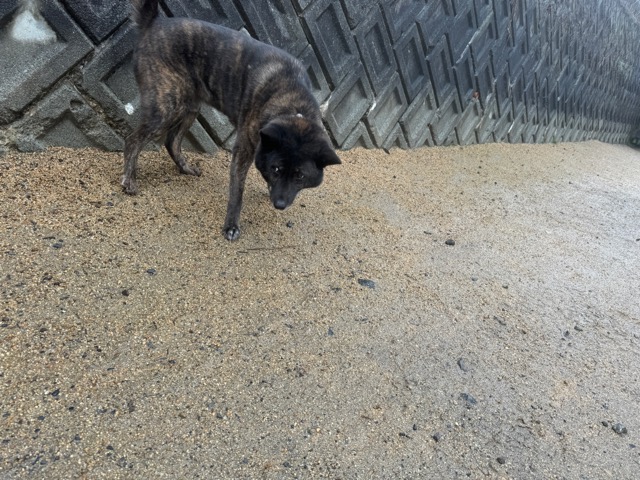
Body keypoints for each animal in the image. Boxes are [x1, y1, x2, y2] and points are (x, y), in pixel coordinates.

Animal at [123, 0, 340, 240]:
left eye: (300, 176)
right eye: (276, 169)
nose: (279, 204)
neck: (291, 102)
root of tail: (153, 22)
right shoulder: (243, 150)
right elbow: (237, 192)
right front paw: (231, 225)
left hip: (190, 106)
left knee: (172, 141)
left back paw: (186, 168)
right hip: (166, 106)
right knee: (133, 140)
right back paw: (129, 179)